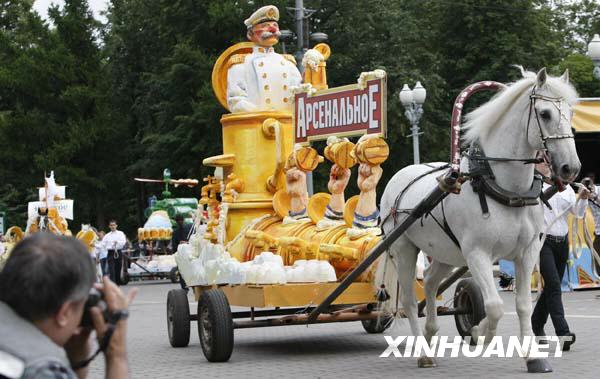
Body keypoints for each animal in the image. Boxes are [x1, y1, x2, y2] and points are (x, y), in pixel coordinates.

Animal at [380, 67, 580, 372]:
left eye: (570, 112)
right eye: (545, 114)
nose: (571, 168)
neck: (503, 188)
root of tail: (400, 176)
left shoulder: (528, 252)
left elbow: (522, 304)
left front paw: (533, 355)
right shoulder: (477, 254)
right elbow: (495, 306)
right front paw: (480, 331)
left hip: (445, 253)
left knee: (430, 282)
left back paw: (430, 332)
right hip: (404, 249)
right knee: (409, 301)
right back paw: (423, 351)